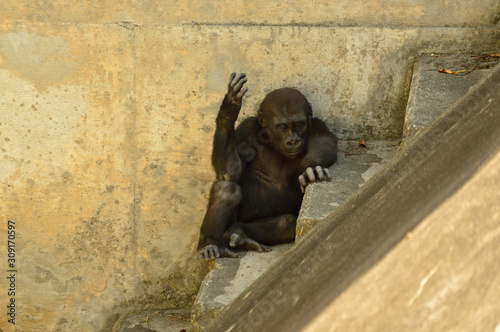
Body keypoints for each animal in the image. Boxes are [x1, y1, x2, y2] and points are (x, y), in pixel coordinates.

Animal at [197, 72, 338, 260]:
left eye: (298, 124)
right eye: (282, 127)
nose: (293, 141)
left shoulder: (316, 124)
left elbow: (325, 141)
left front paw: (312, 168)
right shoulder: (246, 128)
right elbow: (230, 171)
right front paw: (229, 109)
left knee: (286, 222)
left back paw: (240, 234)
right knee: (226, 188)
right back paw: (210, 244)